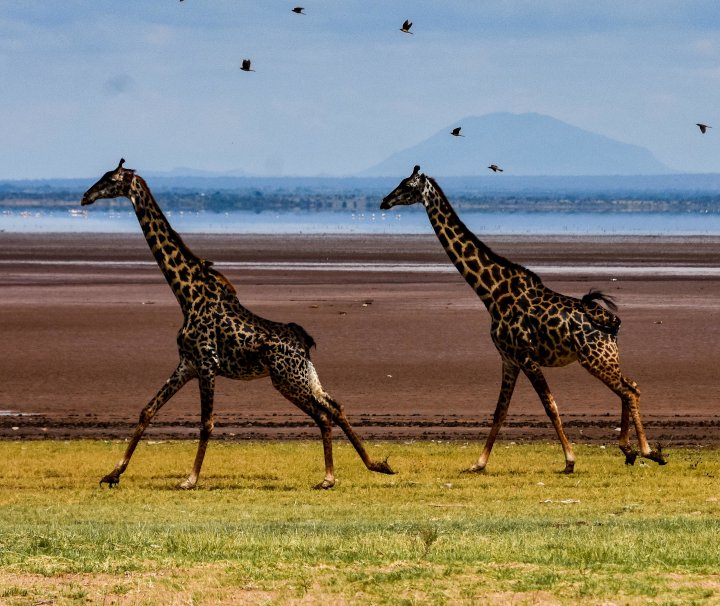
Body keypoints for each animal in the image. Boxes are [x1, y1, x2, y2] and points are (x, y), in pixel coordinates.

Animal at [82, 159, 396, 492]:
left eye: (110, 179)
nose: (86, 197)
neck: (186, 295)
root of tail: (304, 342)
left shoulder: (207, 364)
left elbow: (206, 423)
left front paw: (190, 479)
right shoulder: (187, 364)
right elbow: (147, 410)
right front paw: (112, 473)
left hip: (287, 379)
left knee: (323, 413)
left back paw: (333, 476)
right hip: (304, 375)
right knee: (333, 406)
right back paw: (365, 468)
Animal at [380, 166, 668, 476]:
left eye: (408, 186)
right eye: (400, 182)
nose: (384, 201)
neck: (492, 293)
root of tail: (613, 324)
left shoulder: (525, 356)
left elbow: (550, 405)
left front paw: (569, 460)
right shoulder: (508, 358)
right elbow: (500, 410)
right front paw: (478, 463)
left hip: (595, 359)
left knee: (628, 391)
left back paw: (648, 451)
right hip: (606, 358)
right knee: (632, 387)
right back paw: (630, 451)